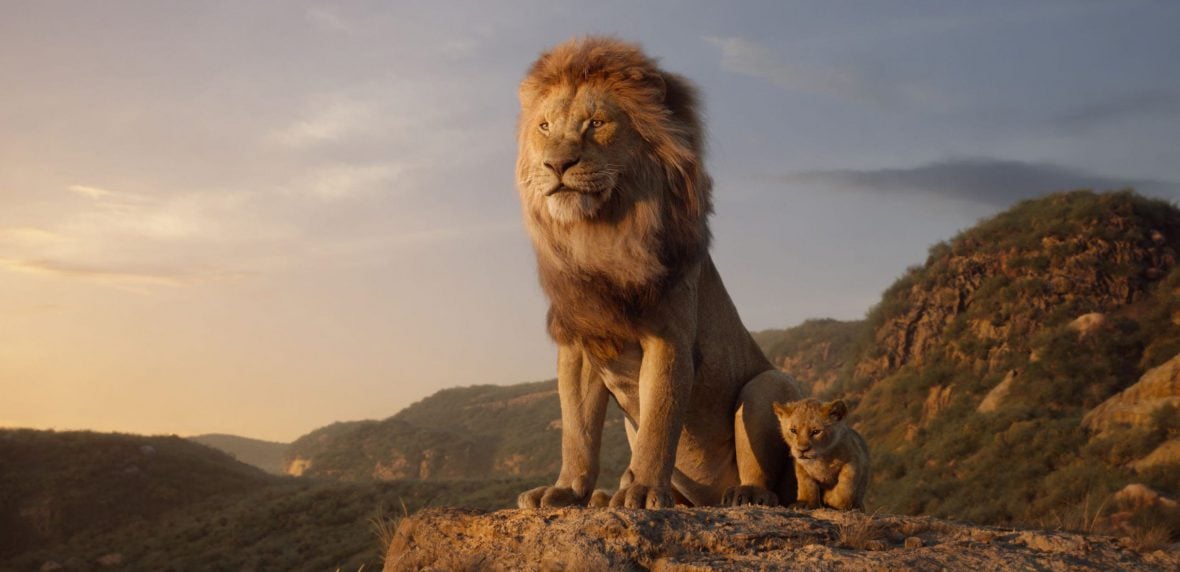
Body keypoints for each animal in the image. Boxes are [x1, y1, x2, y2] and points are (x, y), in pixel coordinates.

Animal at [513, 36, 803, 509]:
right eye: (544, 127)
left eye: (596, 123)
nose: (557, 165)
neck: (600, 235)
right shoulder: (580, 343)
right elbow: (577, 431)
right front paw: (566, 490)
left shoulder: (669, 337)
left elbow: (659, 421)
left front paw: (644, 490)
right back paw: (605, 496)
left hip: (768, 385)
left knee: (768, 477)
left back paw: (745, 494)